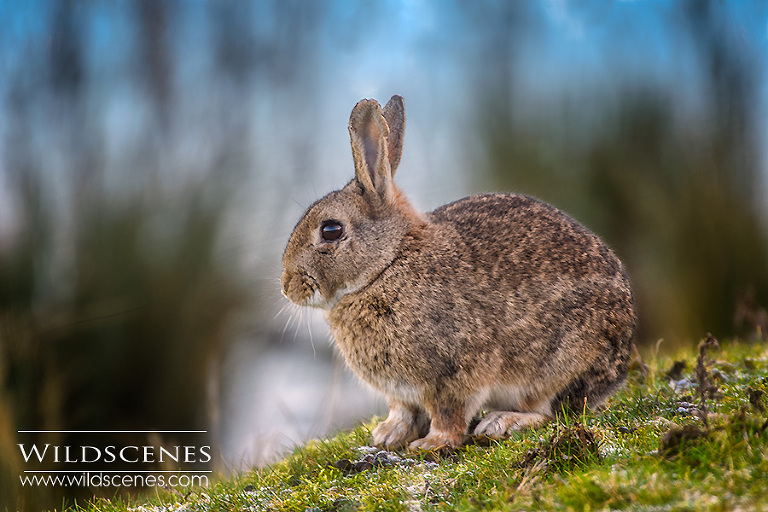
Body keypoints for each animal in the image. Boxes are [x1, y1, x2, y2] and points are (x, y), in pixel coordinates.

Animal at [282, 94, 636, 450]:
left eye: (330, 230)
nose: (287, 287)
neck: (387, 265)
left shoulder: (455, 371)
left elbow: (449, 412)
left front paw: (433, 443)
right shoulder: (402, 392)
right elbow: (404, 411)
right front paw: (388, 435)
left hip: (555, 366)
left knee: (551, 412)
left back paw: (502, 422)